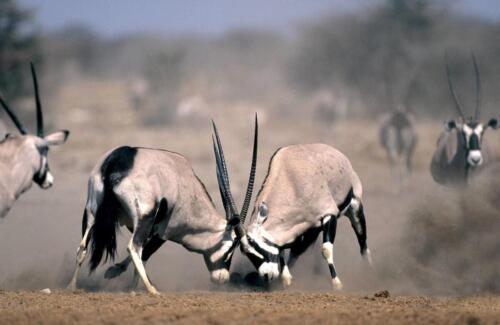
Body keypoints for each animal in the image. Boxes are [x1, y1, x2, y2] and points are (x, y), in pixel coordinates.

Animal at [67, 116, 258, 294]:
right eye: (232, 246)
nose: (222, 278)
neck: (188, 190)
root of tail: (115, 165)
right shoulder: (163, 231)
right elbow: (145, 254)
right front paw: (130, 285)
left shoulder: (140, 227)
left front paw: (116, 272)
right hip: (144, 216)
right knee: (134, 248)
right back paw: (152, 290)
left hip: (92, 211)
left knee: (82, 247)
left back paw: (71, 286)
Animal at [235, 144, 372, 288]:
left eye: (255, 244)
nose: (266, 275)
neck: (289, 179)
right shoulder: (299, 229)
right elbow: (287, 250)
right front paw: (286, 279)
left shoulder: (328, 214)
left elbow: (326, 249)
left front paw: (337, 283)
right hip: (313, 230)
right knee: (299, 251)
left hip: (354, 207)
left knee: (362, 241)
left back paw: (368, 272)